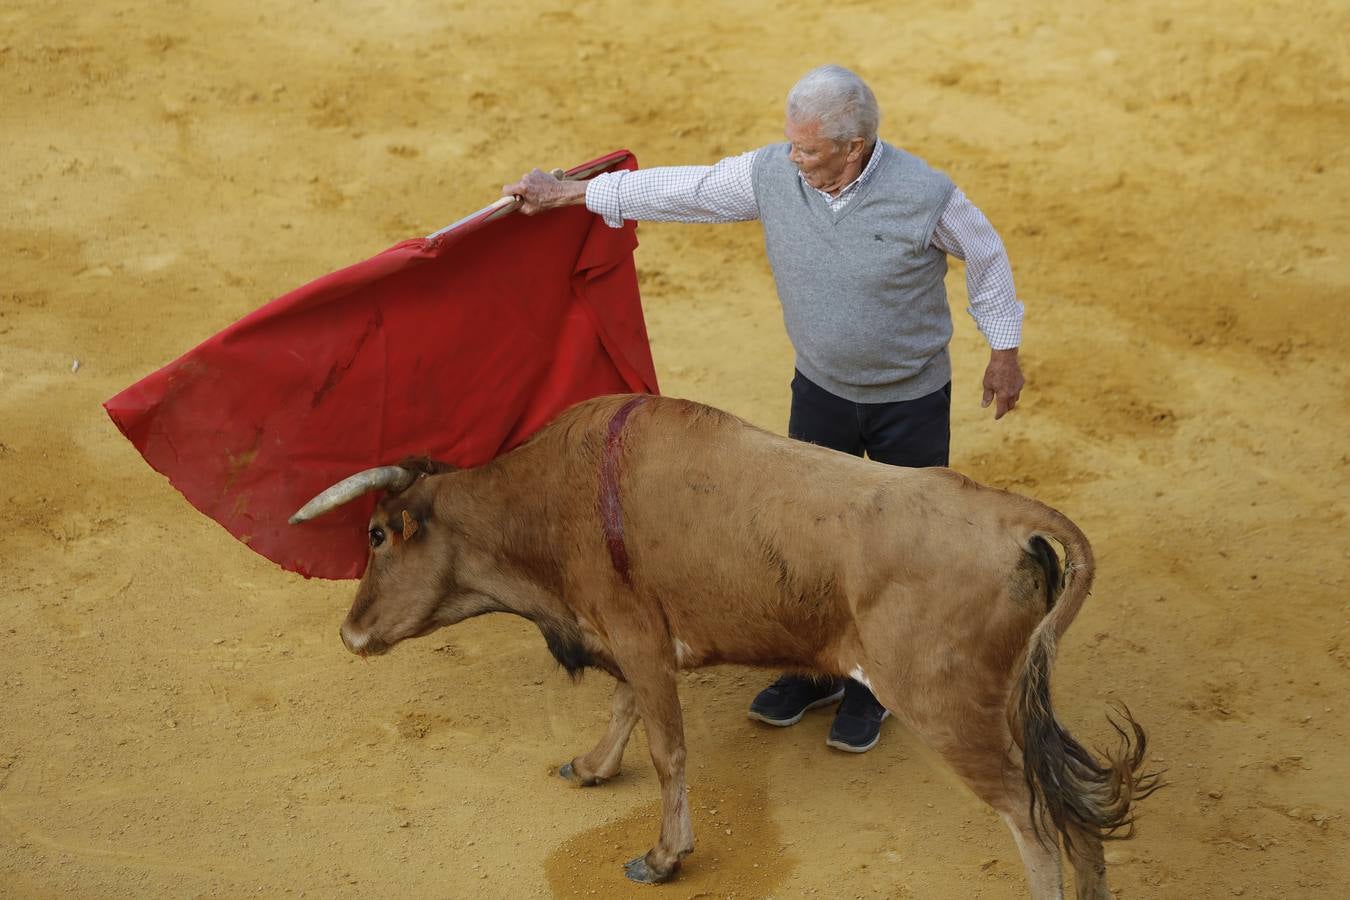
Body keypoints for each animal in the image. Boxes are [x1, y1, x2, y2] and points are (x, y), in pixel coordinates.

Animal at [290, 394, 1155, 900]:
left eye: (376, 535)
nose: (349, 631)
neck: (552, 497)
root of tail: (1008, 514)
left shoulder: (638, 637)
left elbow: (666, 746)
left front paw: (664, 856)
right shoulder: (629, 638)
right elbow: (625, 711)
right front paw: (592, 767)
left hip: (952, 713)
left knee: (1035, 817)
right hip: (1011, 703)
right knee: (1074, 798)